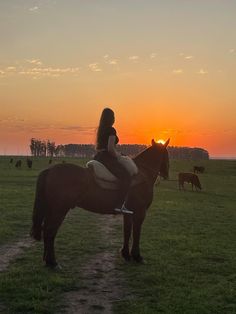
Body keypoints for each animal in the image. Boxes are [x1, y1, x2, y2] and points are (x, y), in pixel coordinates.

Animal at [30, 139, 170, 268]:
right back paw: (53, 263)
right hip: (59, 210)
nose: (166, 174)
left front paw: (126, 254)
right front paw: (137, 256)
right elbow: (136, 233)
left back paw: (47, 260)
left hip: (52, 209)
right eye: (167, 154)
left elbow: (127, 231)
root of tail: (50, 170)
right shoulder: (140, 213)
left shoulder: (129, 213)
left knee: (46, 231)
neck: (142, 174)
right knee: (50, 231)